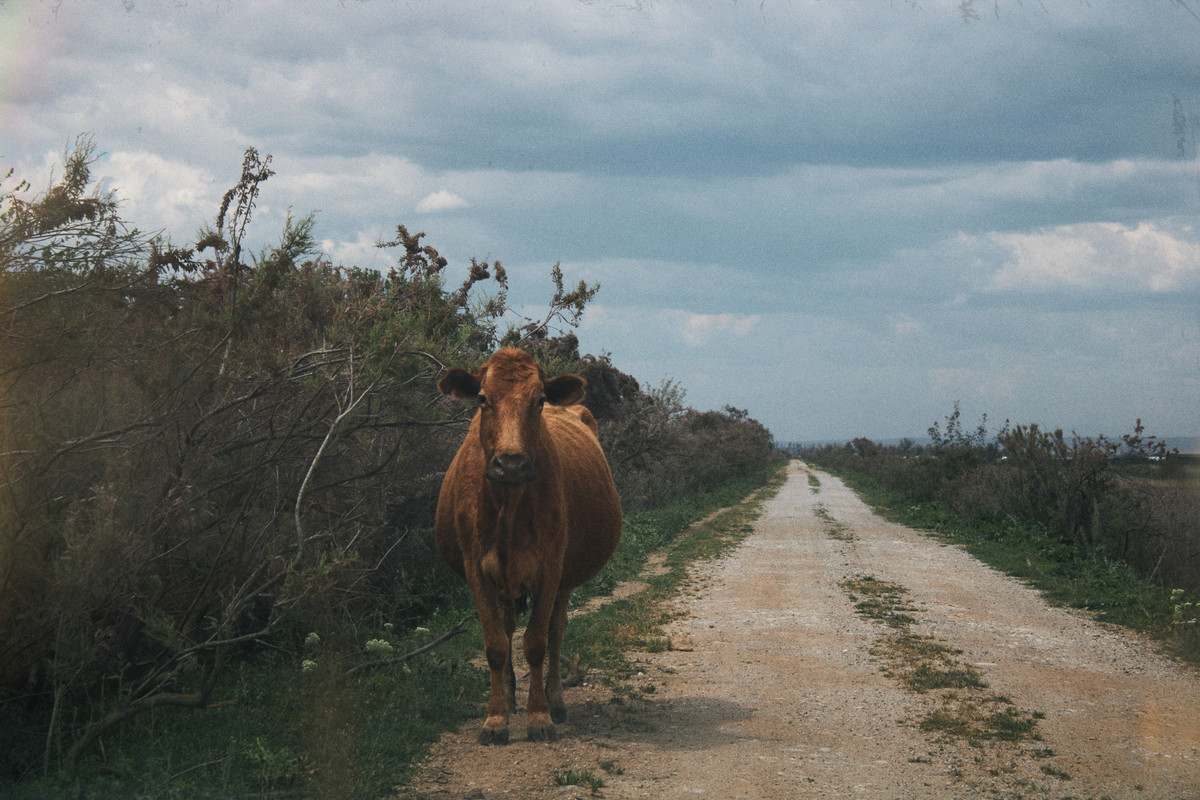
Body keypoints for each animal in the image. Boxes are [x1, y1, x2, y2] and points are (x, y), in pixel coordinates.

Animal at [436, 347, 624, 743]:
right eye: (482, 398)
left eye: (538, 401)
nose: (511, 463)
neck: (508, 504)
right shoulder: (476, 569)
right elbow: (495, 644)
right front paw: (495, 719)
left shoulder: (550, 569)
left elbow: (536, 642)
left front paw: (540, 716)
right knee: (508, 628)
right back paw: (508, 696)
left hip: (565, 579)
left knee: (556, 630)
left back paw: (556, 700)